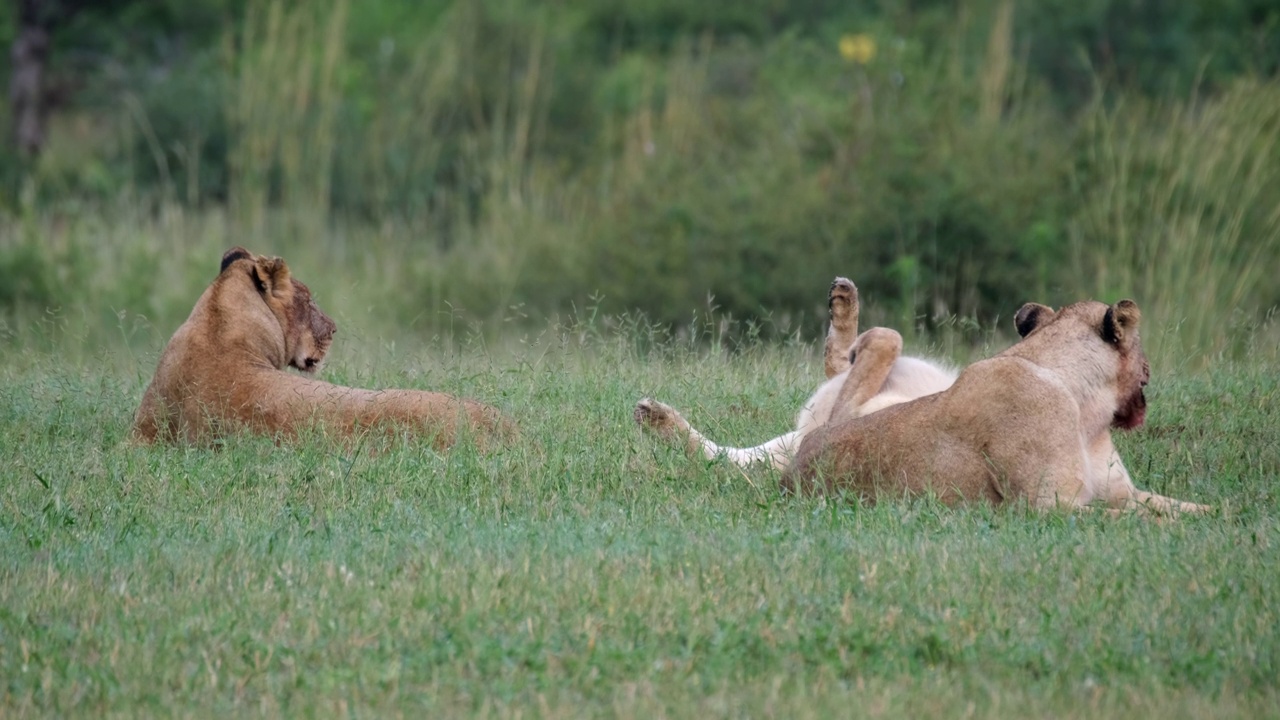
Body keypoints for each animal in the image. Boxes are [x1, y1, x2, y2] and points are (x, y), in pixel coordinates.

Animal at [778, 298, 1208, 515]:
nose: (1149, 366)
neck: (1089, 413)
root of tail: (792, 470)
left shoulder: (1122, 493)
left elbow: (1181, 507)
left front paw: (1218, 516)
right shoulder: (1045, 508)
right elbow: (1136, 520)